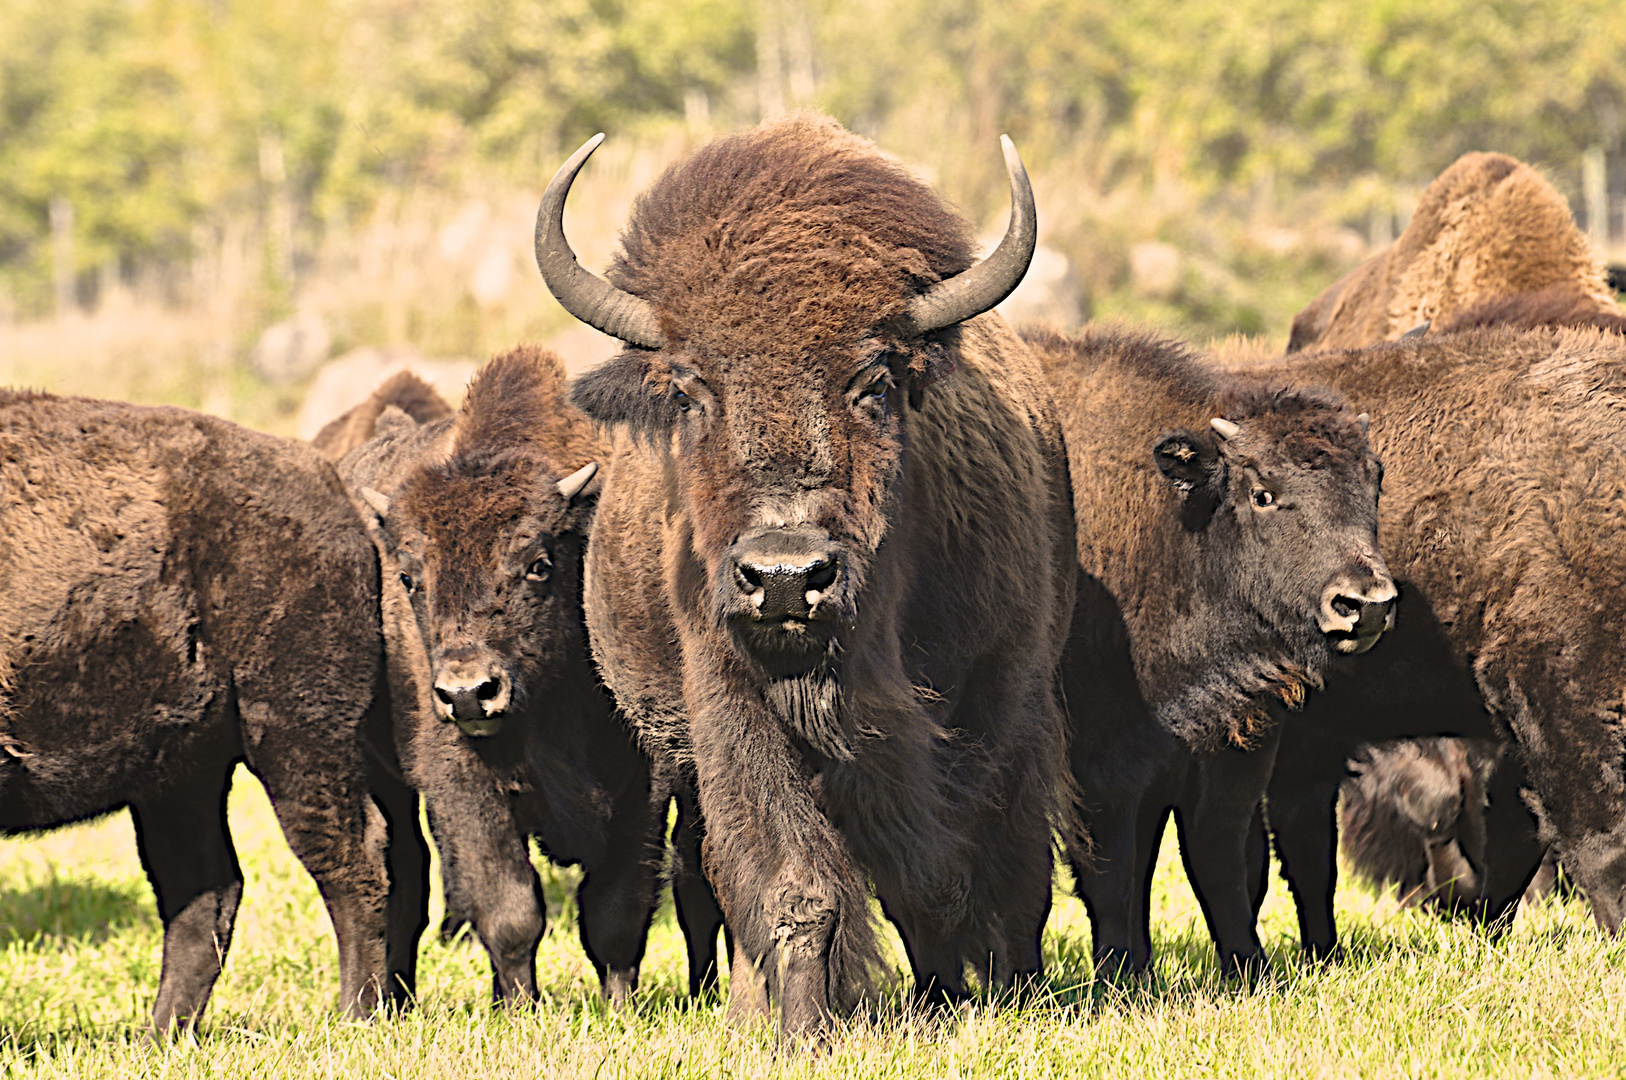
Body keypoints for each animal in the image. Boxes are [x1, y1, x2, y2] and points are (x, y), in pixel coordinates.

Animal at [0, 391, 426, 1034]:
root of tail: (336, 490)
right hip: (178, 772)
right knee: (206, 893)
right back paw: (159, 1039)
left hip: (295, 731)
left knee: (353, 858)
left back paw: (355, 1017)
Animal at [330, 349, 725, 1001]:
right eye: (409, 577)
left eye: (538, 564)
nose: (469, 693)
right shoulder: (462, 781)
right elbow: (510, 909)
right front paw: (518, 1007)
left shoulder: (646, 785)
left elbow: (617, 912)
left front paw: (619, 1006)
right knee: (406, 876)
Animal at [539, 113, 1086, 1034]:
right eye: (688, 390)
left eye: (873, 380)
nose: (787, 576)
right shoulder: (733, 710)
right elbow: (794, 884)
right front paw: (801, 1033)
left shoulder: (986, 707)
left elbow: (948, 874)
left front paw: (951, 1002)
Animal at [1027, 325, 1398, 975]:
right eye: (1263, 493)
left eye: (1374, 480)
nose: (1365, 603)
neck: (1173, 521)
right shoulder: (1100, 752)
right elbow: (1112, 866)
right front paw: (1120, 974)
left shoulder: (1234, 739)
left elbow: (1215, 849)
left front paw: (1251, 969)